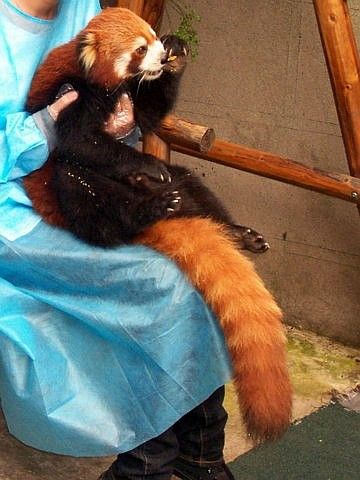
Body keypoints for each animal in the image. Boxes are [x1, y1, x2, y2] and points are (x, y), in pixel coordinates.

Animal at [23, 6, 292, 442]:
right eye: (138, 49)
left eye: (154, 36)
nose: (161, 57)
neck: (104, 82)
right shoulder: (71, 96)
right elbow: (81, 143)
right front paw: (144, 163)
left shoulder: (134, 100)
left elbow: (150, 116)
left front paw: (178, 54)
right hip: (75, 203)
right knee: (83, 186)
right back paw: (148, 206)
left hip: (187, 180)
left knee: (191, 184)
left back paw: (236, 233)